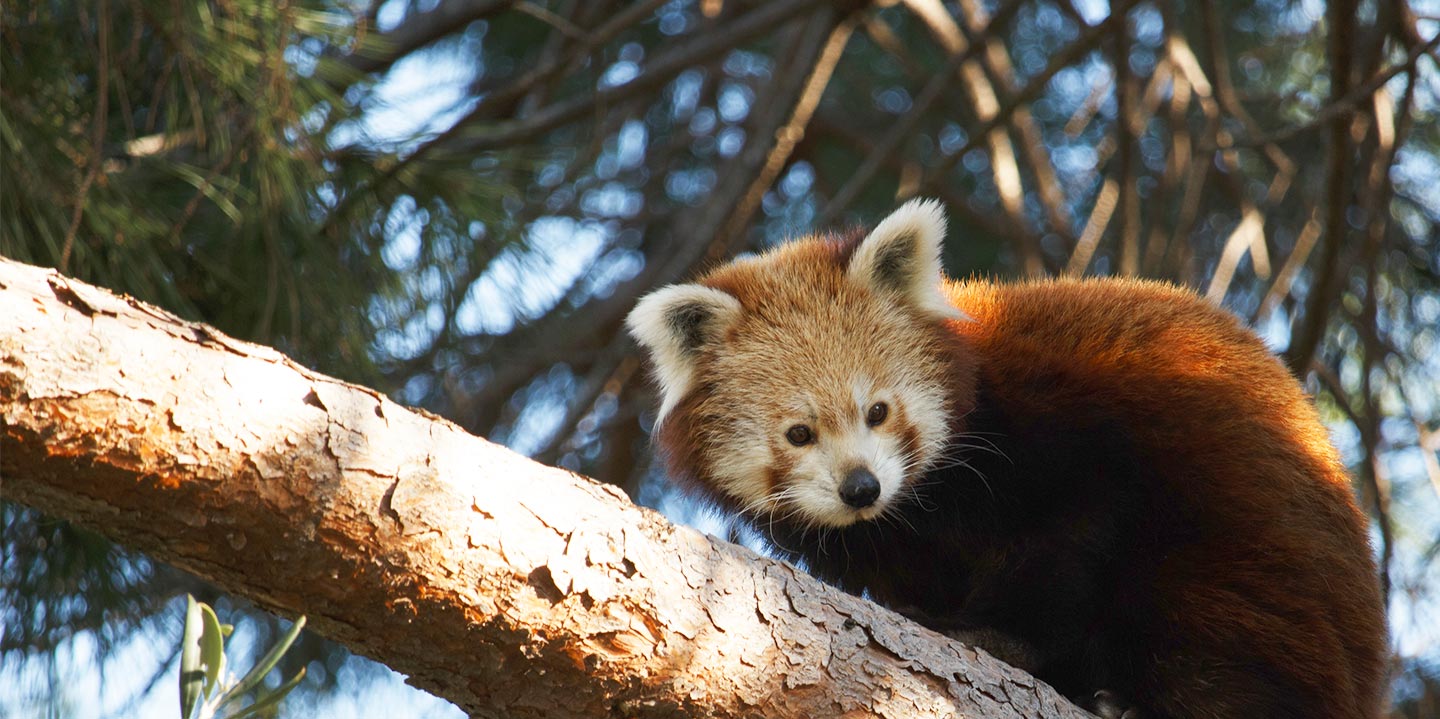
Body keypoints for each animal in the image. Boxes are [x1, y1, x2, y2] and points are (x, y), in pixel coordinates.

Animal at [624, 198, 1388, 719]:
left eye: (878, 411)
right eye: (799, 434)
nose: (861, 488)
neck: (920, 508)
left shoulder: (1064, 438)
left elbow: (1069, 539)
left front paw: (994, 638)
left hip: (1246, 560)